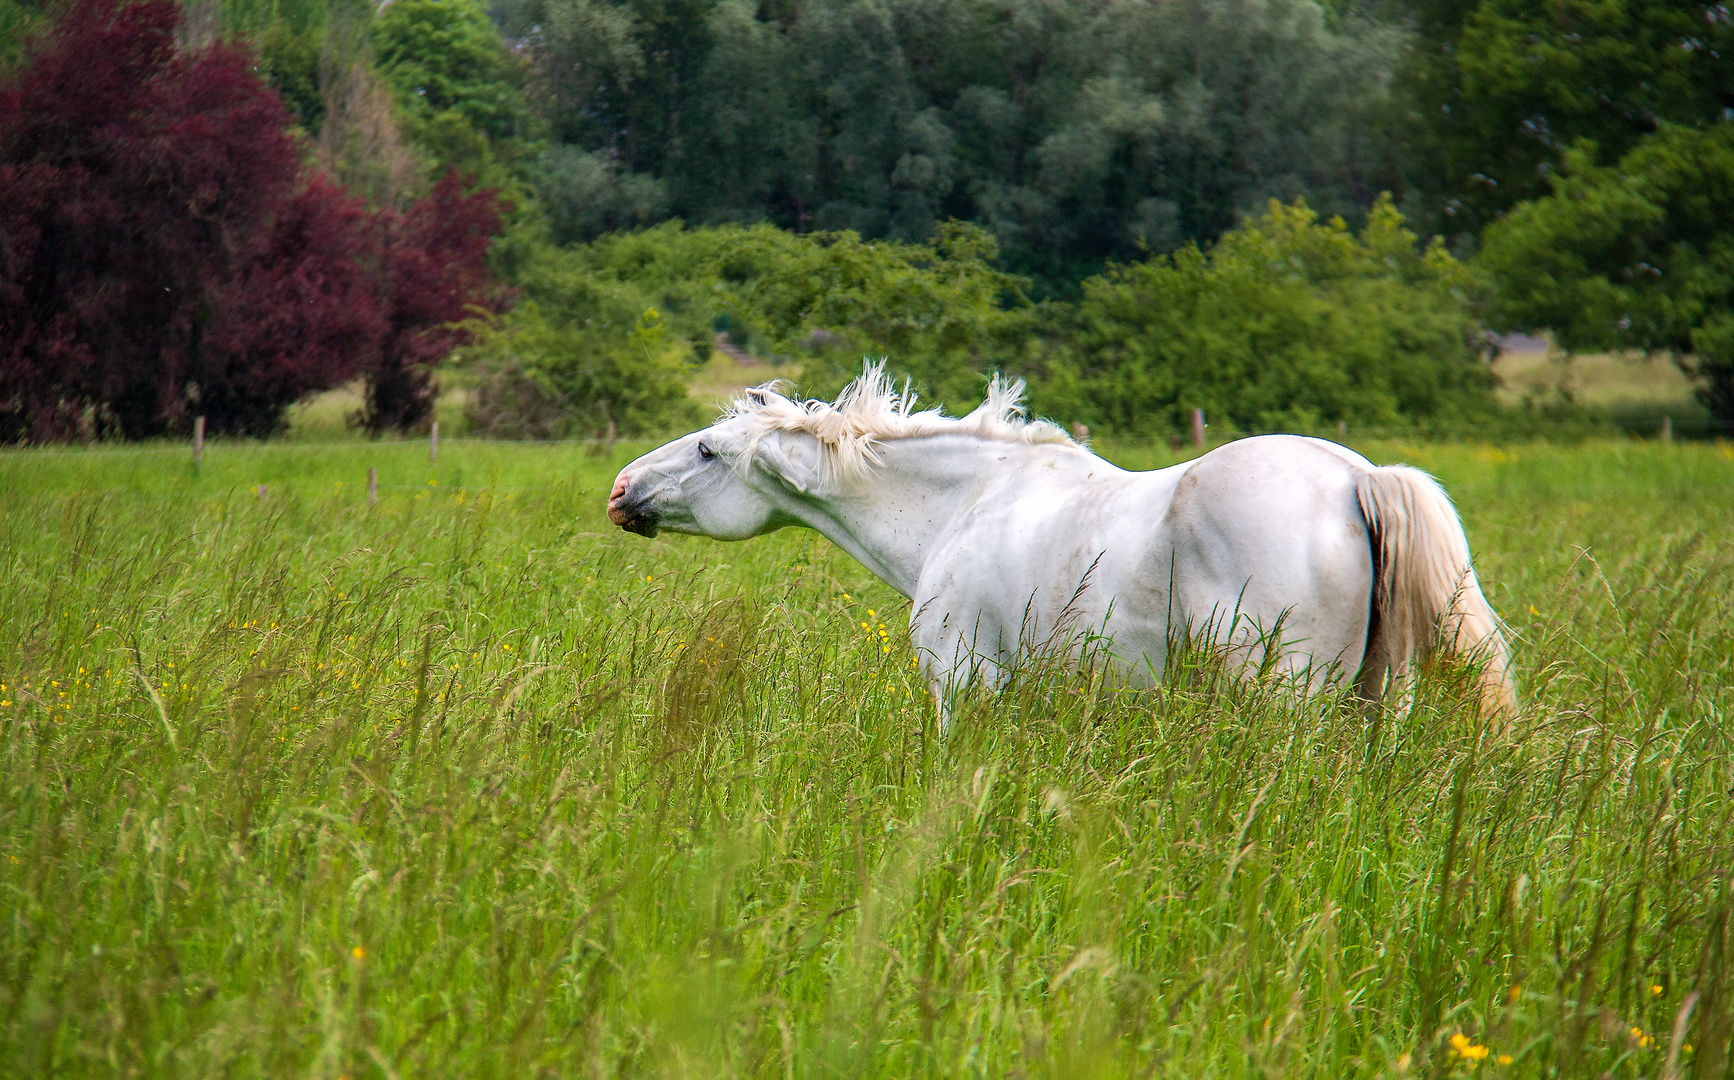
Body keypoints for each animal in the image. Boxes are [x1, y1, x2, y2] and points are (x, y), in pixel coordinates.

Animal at [610, 365, 1518, 728]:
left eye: (707, 452)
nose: (621, 491)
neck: (965, 503)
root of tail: (1357, 478)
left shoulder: (964, 684)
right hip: (1375, 699)